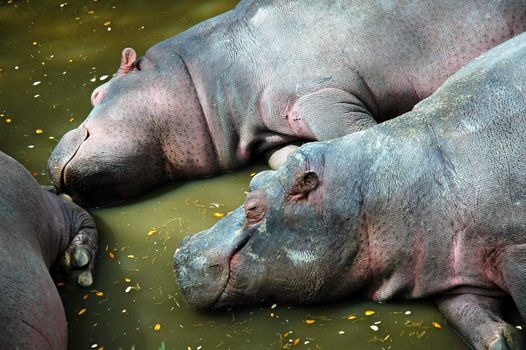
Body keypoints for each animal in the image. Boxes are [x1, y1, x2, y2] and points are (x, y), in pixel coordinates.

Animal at [46, 0, 526, 208]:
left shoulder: (323, 96)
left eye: (97, 93)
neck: (204, 72)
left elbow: (355, 133)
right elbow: (283, 155)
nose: (53, 153)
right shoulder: (270, 133)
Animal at [174, 31, 526, 348]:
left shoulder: (513, 250)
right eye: (256, 178)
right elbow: (467, 314)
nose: (182, 250)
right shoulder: (450, 266)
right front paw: (502, 339)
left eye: (253, 209)